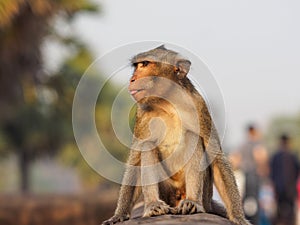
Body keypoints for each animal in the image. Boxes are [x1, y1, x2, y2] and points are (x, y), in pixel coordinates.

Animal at [102, 46, 250, 225]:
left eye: (145, 64)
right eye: (137, 66)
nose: (132, 79)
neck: (168, 102)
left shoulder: (199, 106)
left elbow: (215, 155)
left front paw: (239, 217)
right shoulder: (142, 114)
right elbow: (136, 159)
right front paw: (119, 215)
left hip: (204, 196)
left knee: (194, 138)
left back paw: (192, 202)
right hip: (167, 191)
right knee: (148, 145)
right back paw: (153, 205)